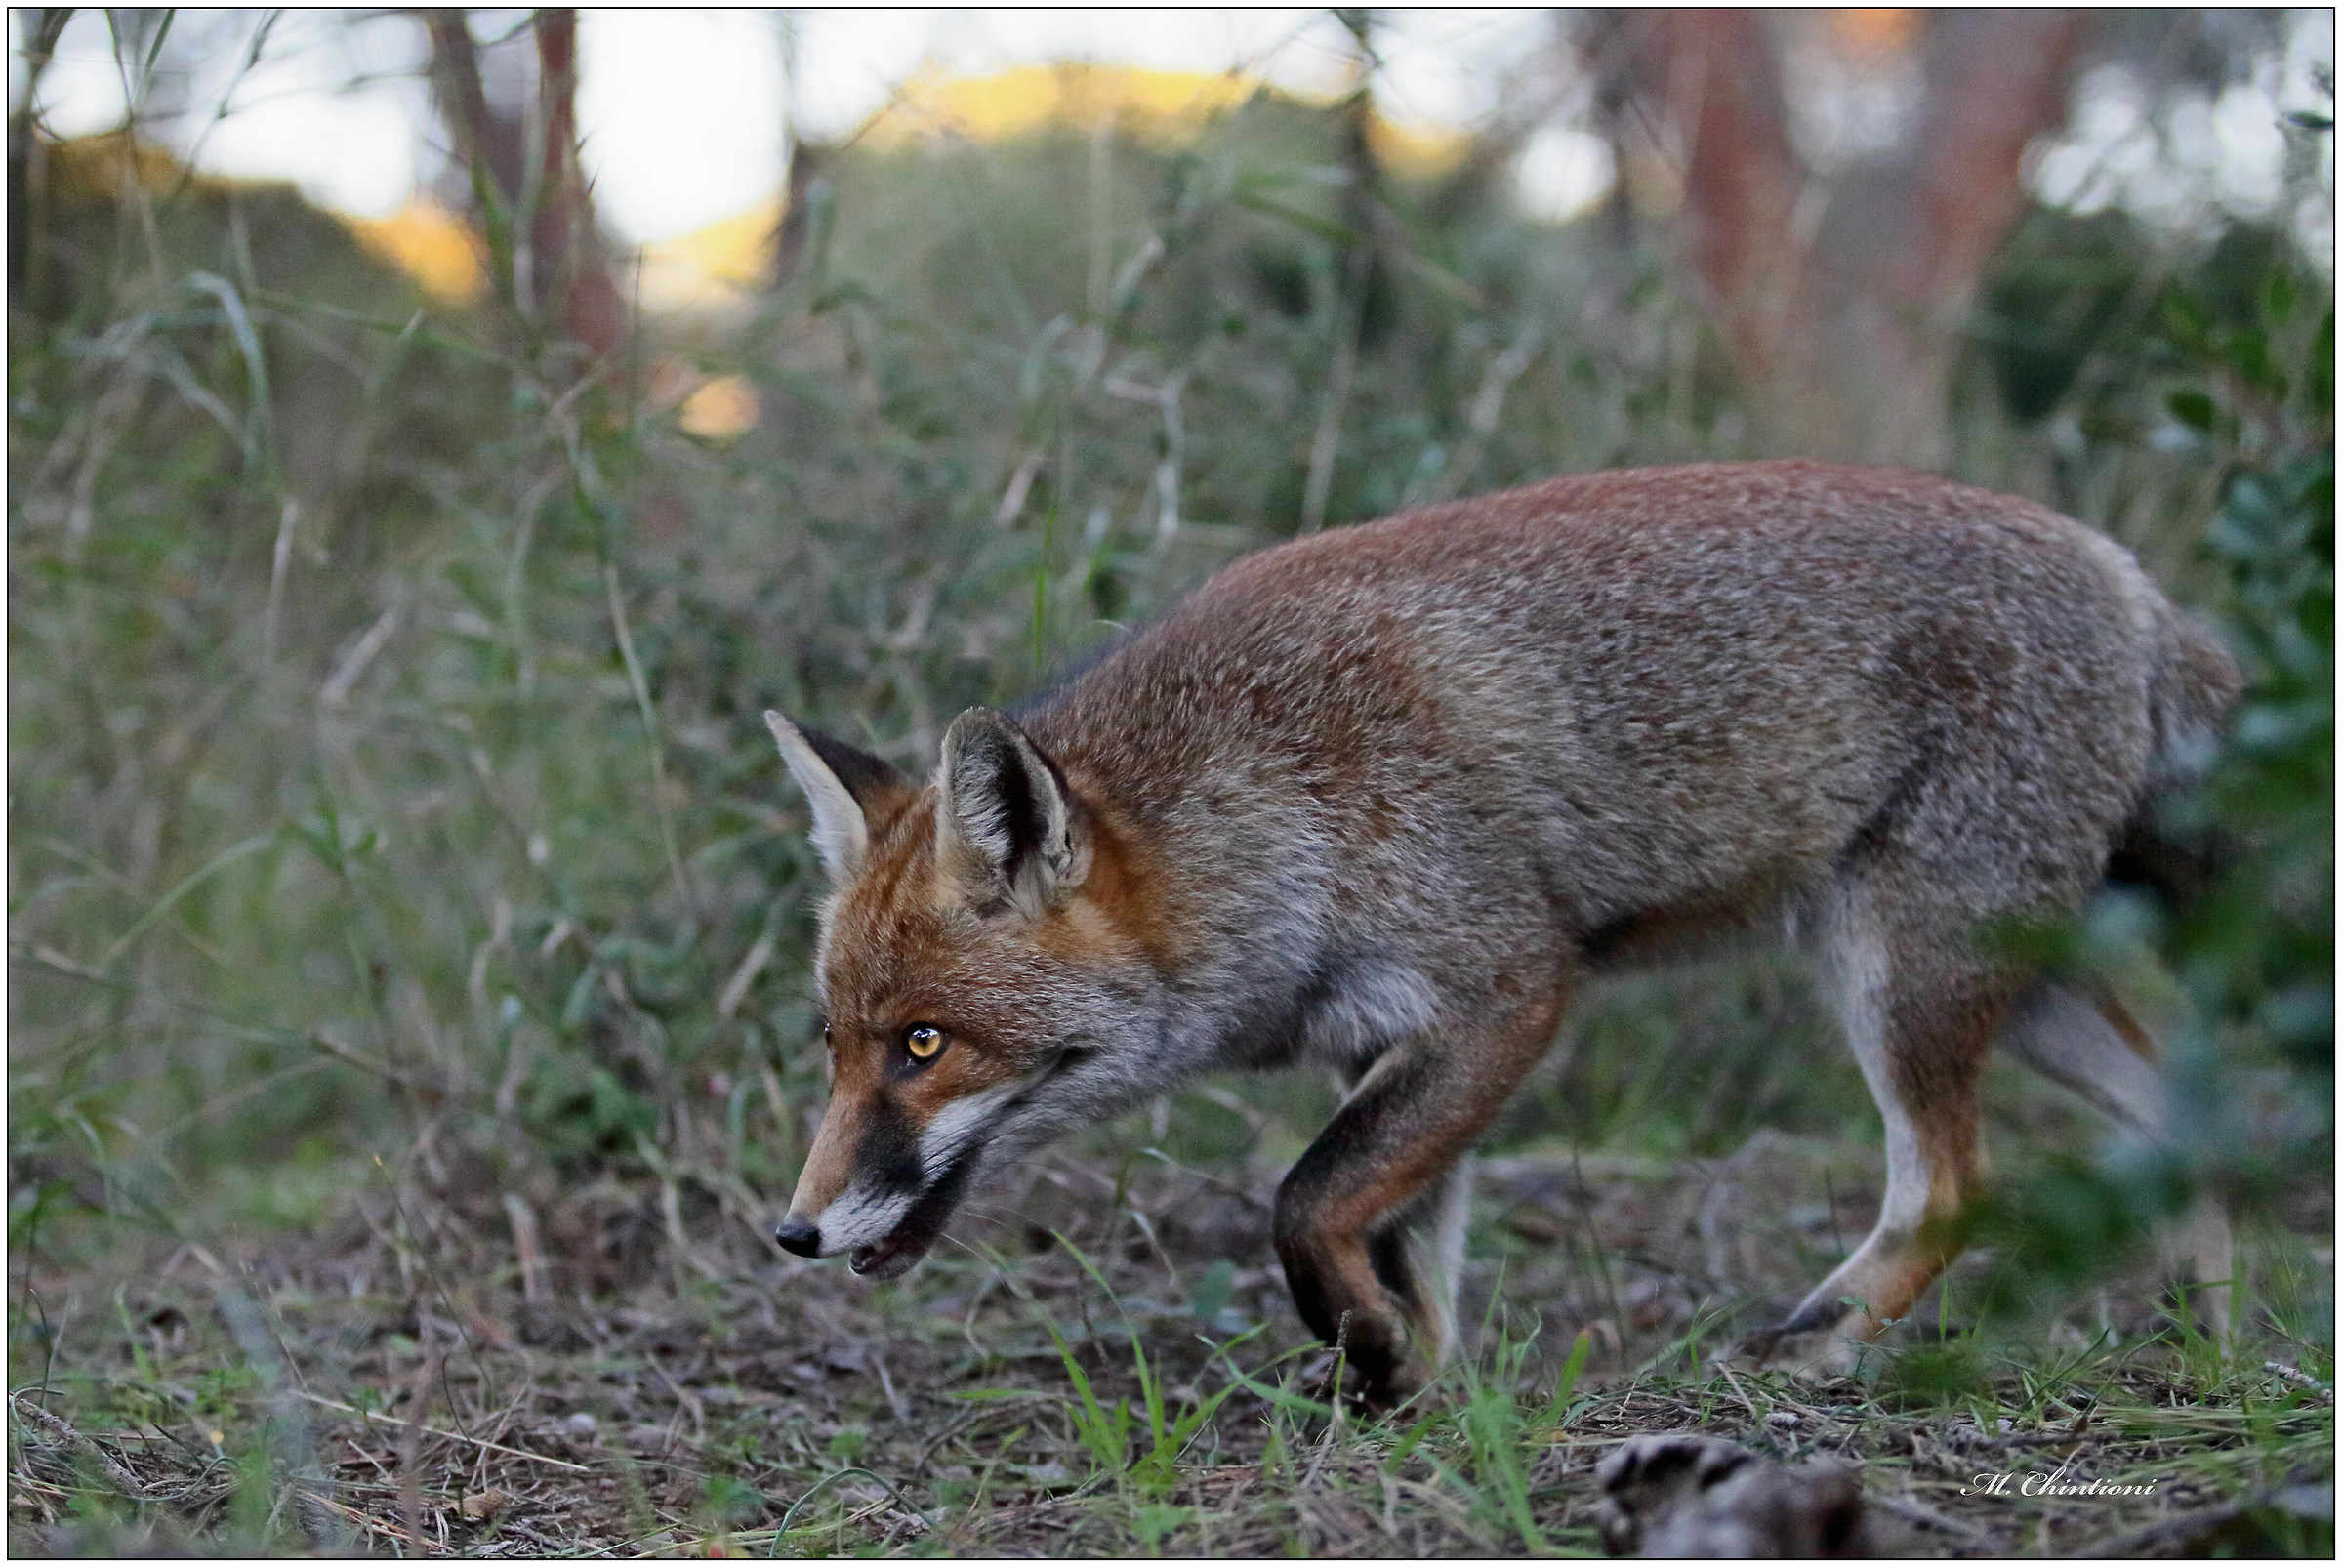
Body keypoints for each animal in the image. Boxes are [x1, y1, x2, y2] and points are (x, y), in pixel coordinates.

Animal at [762, 459, 2240, 1405]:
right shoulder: (1388, 1043)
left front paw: (1363, 1353)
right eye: (836, 1046)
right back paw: (2214, 1344)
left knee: (1953, 1182)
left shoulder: (1507, 992)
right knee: (2182, 1114)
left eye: (925, 1045)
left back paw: (1814, 1344)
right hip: (2012, 985)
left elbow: (1307, 1199)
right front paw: (1408, 1392)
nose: (794, 1234)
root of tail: (2125, 574)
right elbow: (1407, 1243)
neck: (1275, 796)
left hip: (1904, 972)